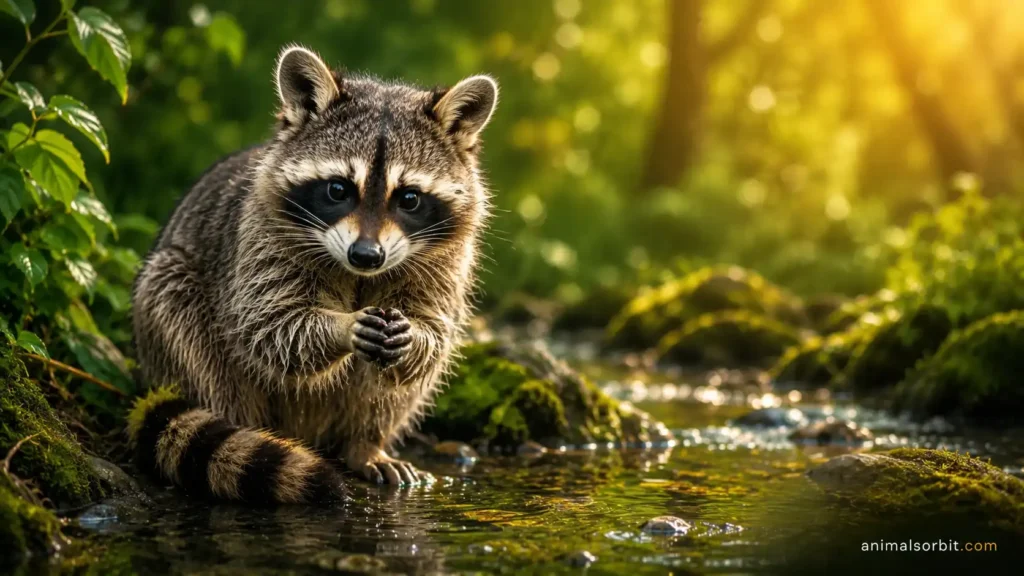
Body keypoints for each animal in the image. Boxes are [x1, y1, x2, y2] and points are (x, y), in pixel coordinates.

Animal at [129, 45, 497, 504]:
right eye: (338, 189)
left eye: (409, 198)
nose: (366, 255)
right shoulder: (261, 238)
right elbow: (268, 324)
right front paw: (342, 326)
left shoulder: (445, 258)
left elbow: (433, 334)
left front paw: (415, 336)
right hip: (172, 296)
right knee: (194, 337)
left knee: (389, 392)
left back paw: (365, 442)